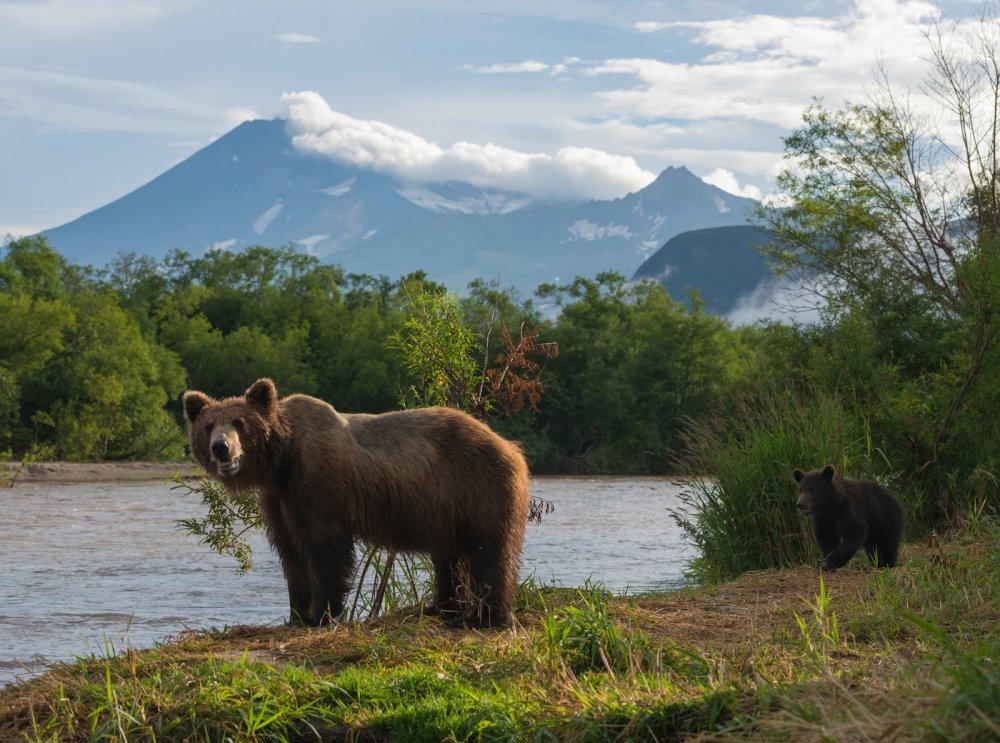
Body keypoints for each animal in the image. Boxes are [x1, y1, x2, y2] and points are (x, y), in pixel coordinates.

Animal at [185, 378, 536, 628]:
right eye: (208, 426)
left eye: (240, 423)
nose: (220, 447)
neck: (281, 461)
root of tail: (509, 445)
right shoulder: (279, 498)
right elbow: (291, 552)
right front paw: (295, 614)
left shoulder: (318, 485)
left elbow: (325, 549)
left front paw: (320, 615)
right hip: (444, 507)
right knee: (448, 555)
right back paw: (440, 607)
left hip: (477, 487)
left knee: (489, 549)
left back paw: (484, 618)